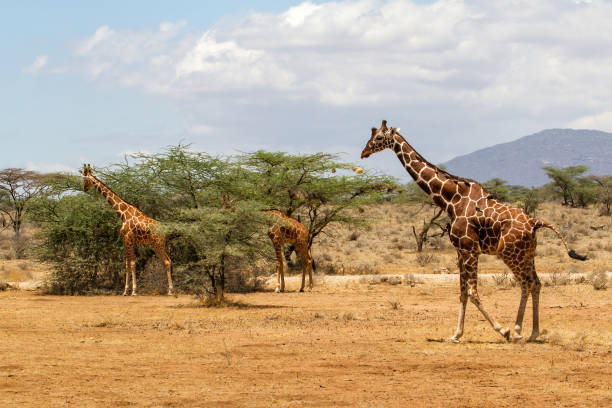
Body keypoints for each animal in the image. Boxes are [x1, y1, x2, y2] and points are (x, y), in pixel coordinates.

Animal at [80, 164, 173, 294]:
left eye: (85, 179)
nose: (84, 188)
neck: (122, 213)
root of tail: (165, 231)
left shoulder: (128, 239)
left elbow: (132, 264)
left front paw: (133, 291)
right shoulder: (127, 240)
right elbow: (127, 264)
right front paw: (125, 291)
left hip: (157, 244)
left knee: (166, 261)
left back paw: (170, 291)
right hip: (159, 244)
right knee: (168, 260)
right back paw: (169, 289)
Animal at [360, 120, 584, 342]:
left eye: (378, 137)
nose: (364, 152)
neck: (451, 200)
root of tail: (535, 222)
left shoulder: (470, 249)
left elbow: (473, 292)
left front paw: (502, 330)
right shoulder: (460, 251)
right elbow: (462, 292)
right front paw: (456, 334)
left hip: (510, 254)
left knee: (526, 283)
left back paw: (517, 330)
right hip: (527, 254)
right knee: (536, 283)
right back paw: (532, 332)